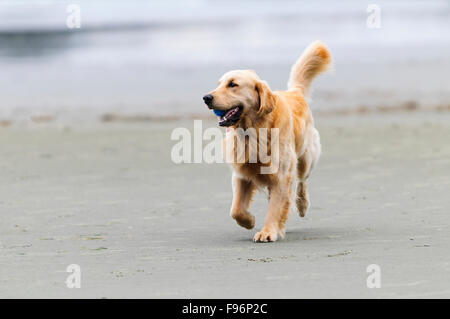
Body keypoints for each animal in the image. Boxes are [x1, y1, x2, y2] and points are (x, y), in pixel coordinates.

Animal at [203, 41, 330, 244]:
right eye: (219, 84)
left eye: (233, 84)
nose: (206, 97)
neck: (253, 131)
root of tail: (295, 92)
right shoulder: (242, 173)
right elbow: (236, 210)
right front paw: (249, 221)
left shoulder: (281, 175)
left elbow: (275, 207)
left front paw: (268, 231)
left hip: (306, 158)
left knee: (302, 182)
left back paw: (302, 205)